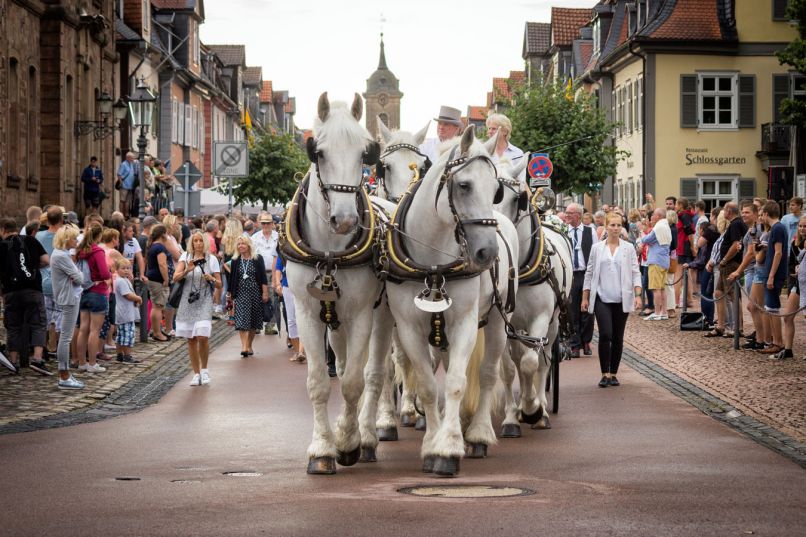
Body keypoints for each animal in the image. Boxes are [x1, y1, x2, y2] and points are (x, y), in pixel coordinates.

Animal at [284, 92, 386, 474]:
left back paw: (368, 434)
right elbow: (319, 382)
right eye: (320, 153)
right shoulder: (308, 313)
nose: (344, 221)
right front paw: (322, 450)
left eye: (363, 154)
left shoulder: (361, 314)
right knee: (341, 367)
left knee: (375, 374)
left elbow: (355, 382)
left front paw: (347, 442)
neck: (330, 252)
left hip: (383, 318)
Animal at [384, 126, 516, 478]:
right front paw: (433, 443)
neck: (433, 263)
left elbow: (457, 382)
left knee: (488, 373)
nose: (487, 253)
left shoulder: (465, 322)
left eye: (496, 190)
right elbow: (428, 385)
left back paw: (479, 432)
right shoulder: (408, 327)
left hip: (496, 322)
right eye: (464, 185)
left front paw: (450, 447)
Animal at [492, 159, 576, 436]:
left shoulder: (540, 318)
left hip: (553, 324)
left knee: (543, 359)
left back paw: (541, 409)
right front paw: (512, 417)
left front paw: (533, 410)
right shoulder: (504, 323)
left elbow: (532, 363)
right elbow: (509, 368)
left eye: (517, 199)